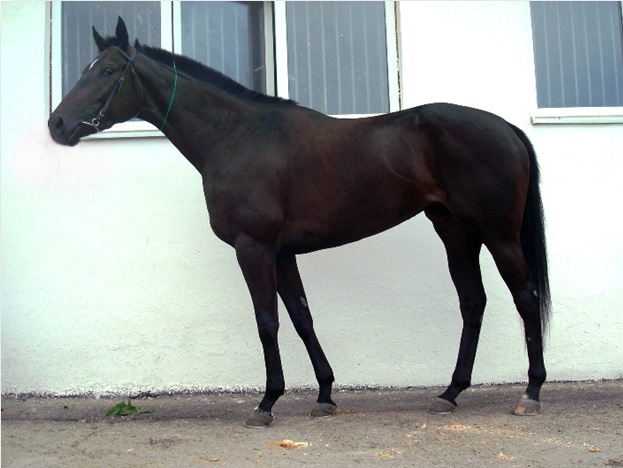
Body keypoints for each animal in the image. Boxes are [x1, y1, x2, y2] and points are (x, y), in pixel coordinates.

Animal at [48, 17, 550, 427]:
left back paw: (531, 393)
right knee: (473, 302)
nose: (57, 124)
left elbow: (267, 321)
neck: (237, 135)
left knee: (525, 298)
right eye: (86, 68)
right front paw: (325, 395)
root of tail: (507, 128)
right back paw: (450, 392)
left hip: (498, 234)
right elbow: (302, 317)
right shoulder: (283, 252)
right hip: (455, 232)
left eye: (107, 72)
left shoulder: (253, 248)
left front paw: (267, 403)